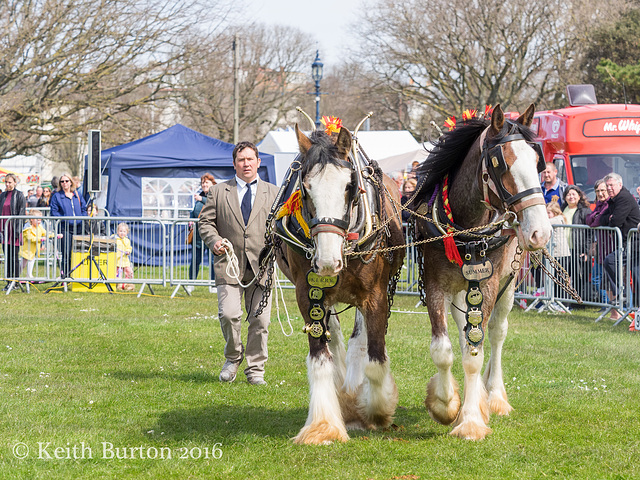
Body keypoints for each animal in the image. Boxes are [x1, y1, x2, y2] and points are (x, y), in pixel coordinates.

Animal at [270, 123, 404, 442]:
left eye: (349, 186)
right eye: (306, 189)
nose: (328, 262)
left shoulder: (375, 295)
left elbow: (375, 356)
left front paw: (377, 412)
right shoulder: (308, 295)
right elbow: (320, 359)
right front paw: (323, 425)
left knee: (359, 339)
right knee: (336, 336)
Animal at [412, 104, 552, 438]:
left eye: (537, 162)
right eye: (502, 165)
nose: (541, 232)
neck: (466, 230)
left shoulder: (487, 285)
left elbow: (476, 356)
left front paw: (472, 420)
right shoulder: (436, 285)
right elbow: (444, 349)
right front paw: (446, 404)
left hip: (509, 284)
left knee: (497, 333)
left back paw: (495, 396)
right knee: (465, 335)